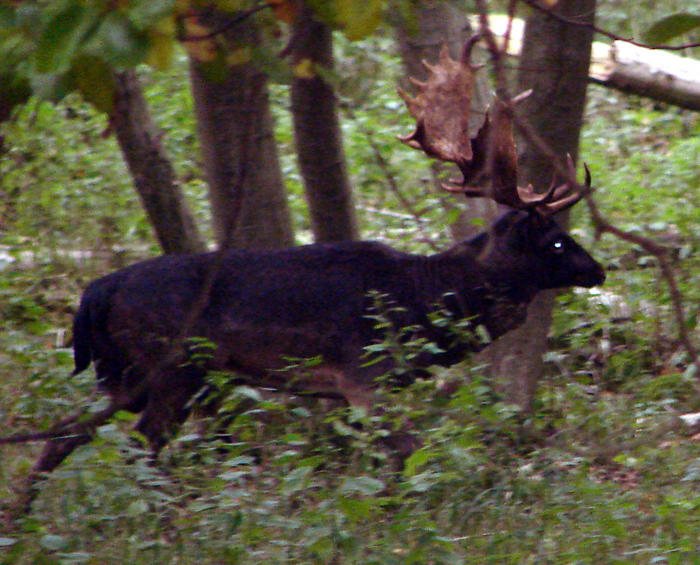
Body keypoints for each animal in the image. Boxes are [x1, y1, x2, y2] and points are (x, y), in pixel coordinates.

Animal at [67, 38, 600, 454]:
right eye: (556, 242)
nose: (600, 270)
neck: (422, 299)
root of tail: (97, 292)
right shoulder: (364, 373)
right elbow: (404, 453)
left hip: (121, 372)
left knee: (66, 436)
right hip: (169, 366)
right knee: (137, 446)